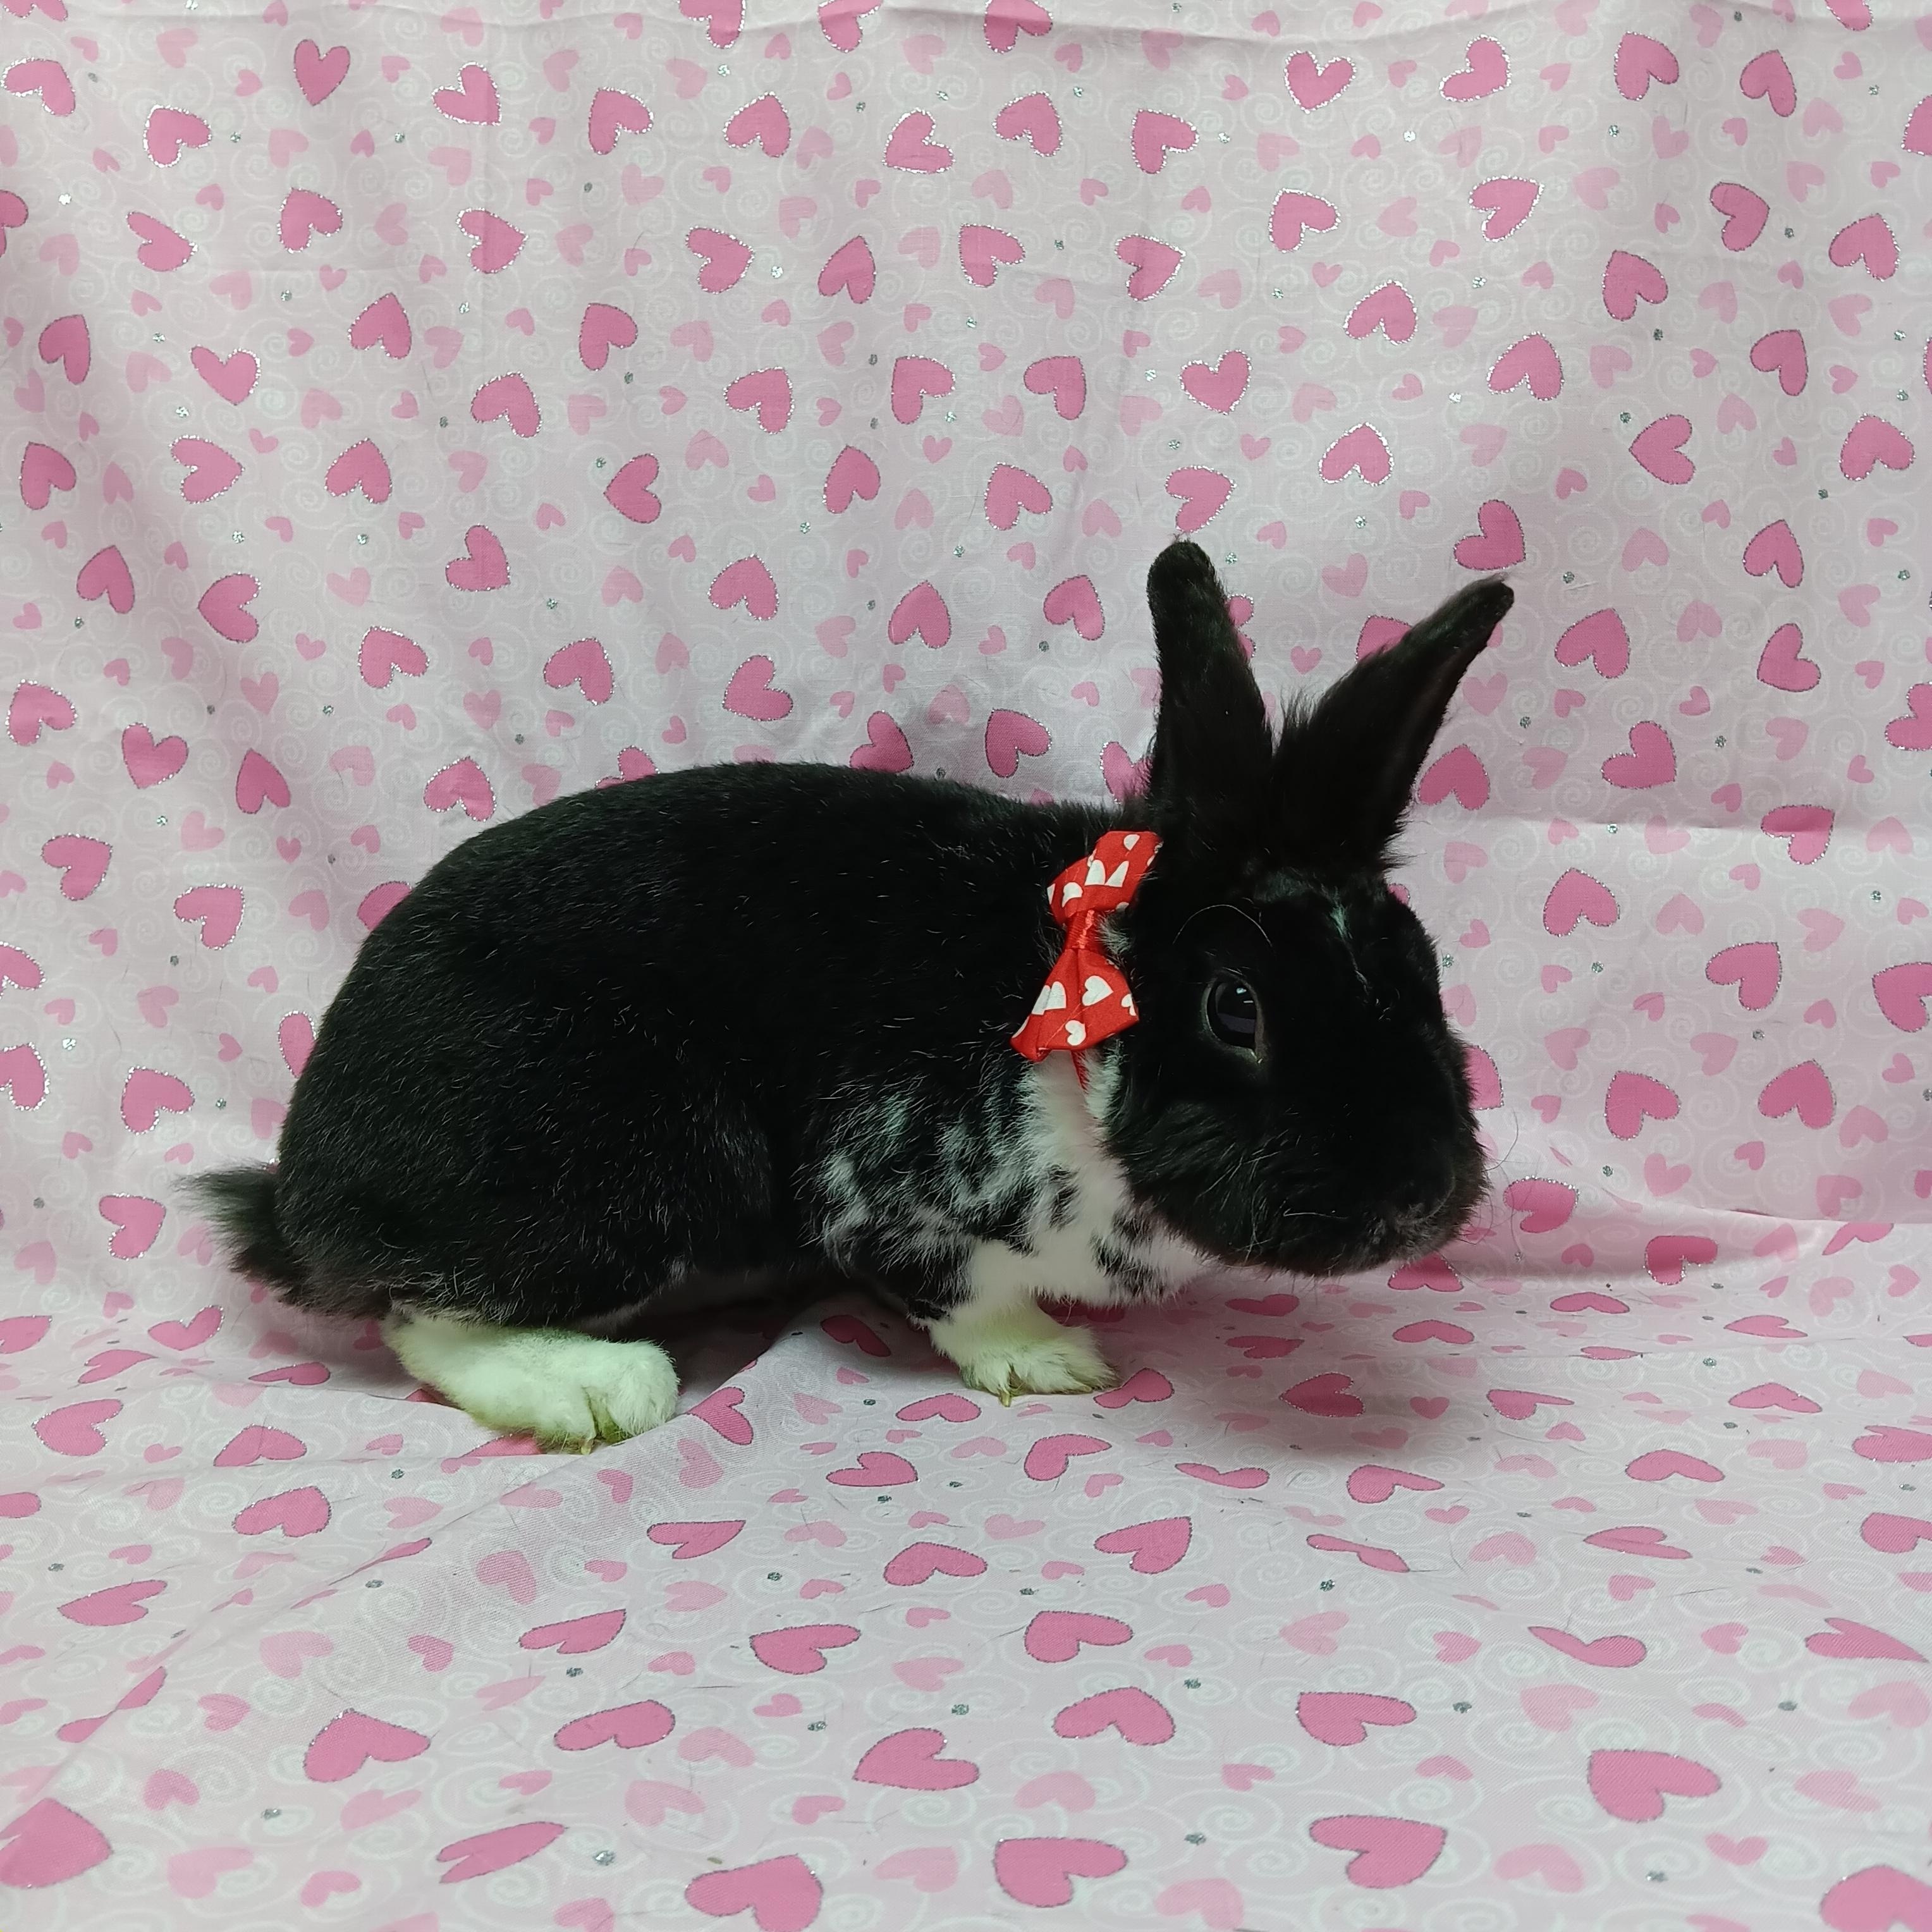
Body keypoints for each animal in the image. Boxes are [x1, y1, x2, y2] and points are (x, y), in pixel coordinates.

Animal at [191, 541, 1512, 1450]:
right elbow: (963, 1291)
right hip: (639, 1164)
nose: (1422, 1200)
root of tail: (304, 1197)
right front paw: (1049, 1362)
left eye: (1424, 965)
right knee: (423, 1318)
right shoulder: (883, 1187)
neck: (1073, 1014)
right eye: (1236, 1006)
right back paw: (600, 1389)